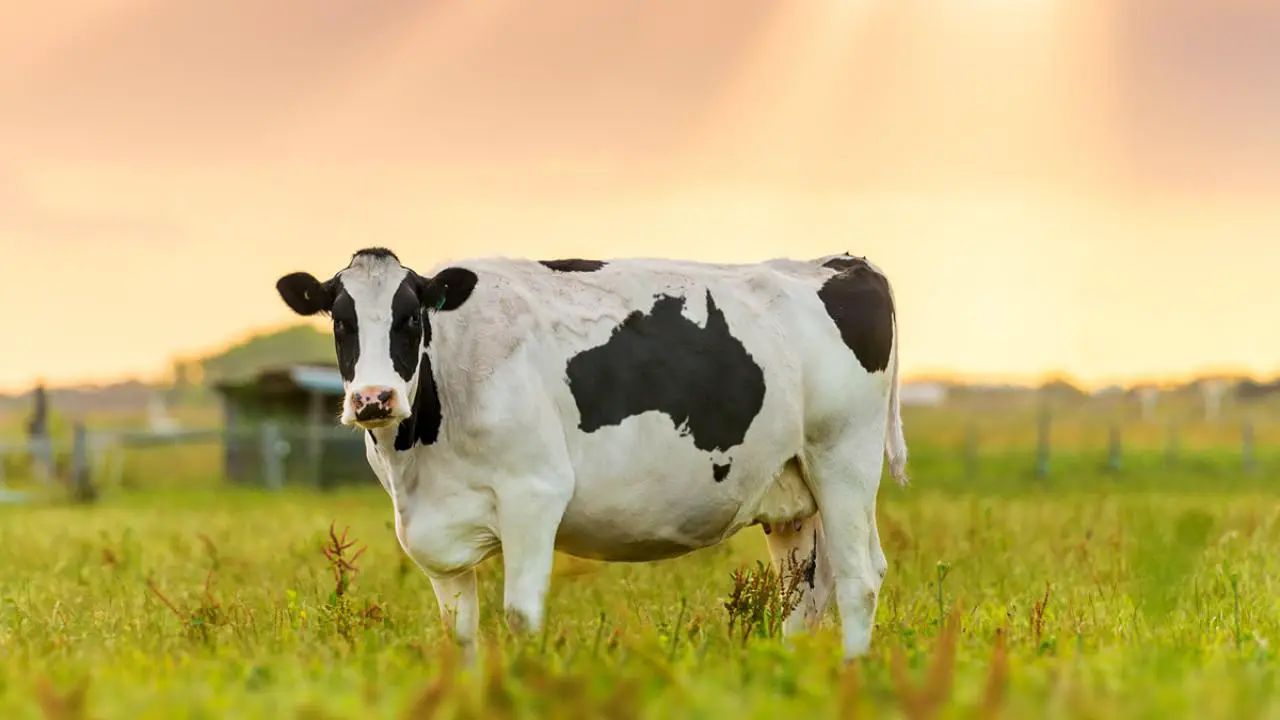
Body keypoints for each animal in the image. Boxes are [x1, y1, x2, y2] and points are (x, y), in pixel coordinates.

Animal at [274, 248, 908, 661]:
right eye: (340, 321)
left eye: (410, 317)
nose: (373, 398)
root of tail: (843, 261)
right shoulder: (436, 535)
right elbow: (460, 634)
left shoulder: (534, 493)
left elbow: (521, 615)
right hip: (792, 491)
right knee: (803, 590)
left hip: (843, 460)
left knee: (858, 578)